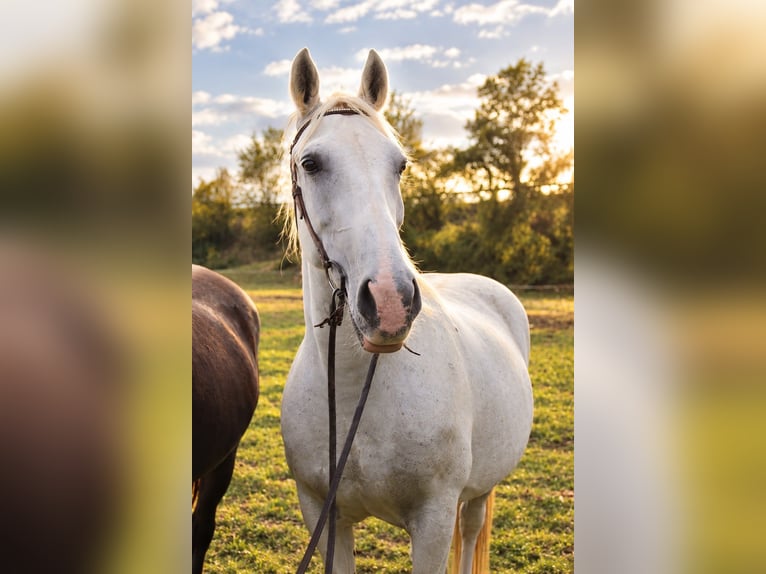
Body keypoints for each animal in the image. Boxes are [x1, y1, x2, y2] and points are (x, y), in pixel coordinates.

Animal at [280, 48, 534, 573]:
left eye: (398, 165)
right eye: (310, 163)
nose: (391, 302)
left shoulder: (433, 521)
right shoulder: (323, 514)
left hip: (479, 490)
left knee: (471, 529)